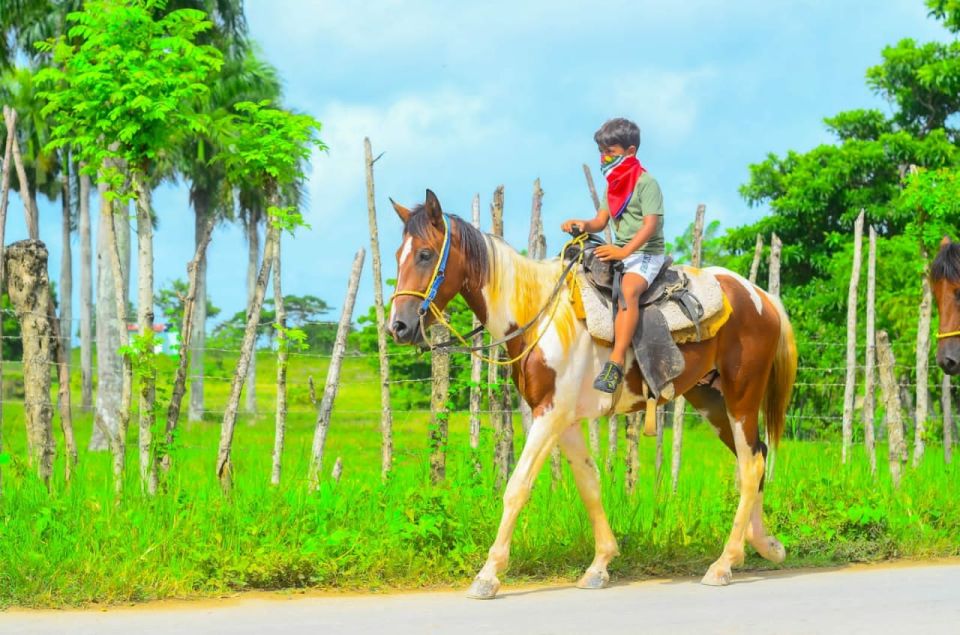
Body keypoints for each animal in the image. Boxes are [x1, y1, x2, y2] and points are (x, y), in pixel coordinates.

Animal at [386, 191, 800, 600]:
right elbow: (589, 483)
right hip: (711, 400)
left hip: (742, 396)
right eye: (398, 254)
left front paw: (488, 576)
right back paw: (765, 544)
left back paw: (724, 563)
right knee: (755, 456)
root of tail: (761, 296)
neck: (538, 313)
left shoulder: (549, 415)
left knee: (751, 465)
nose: (398, 327)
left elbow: (517, 486)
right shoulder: (564, 421)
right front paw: (600, 565)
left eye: (425, 254)